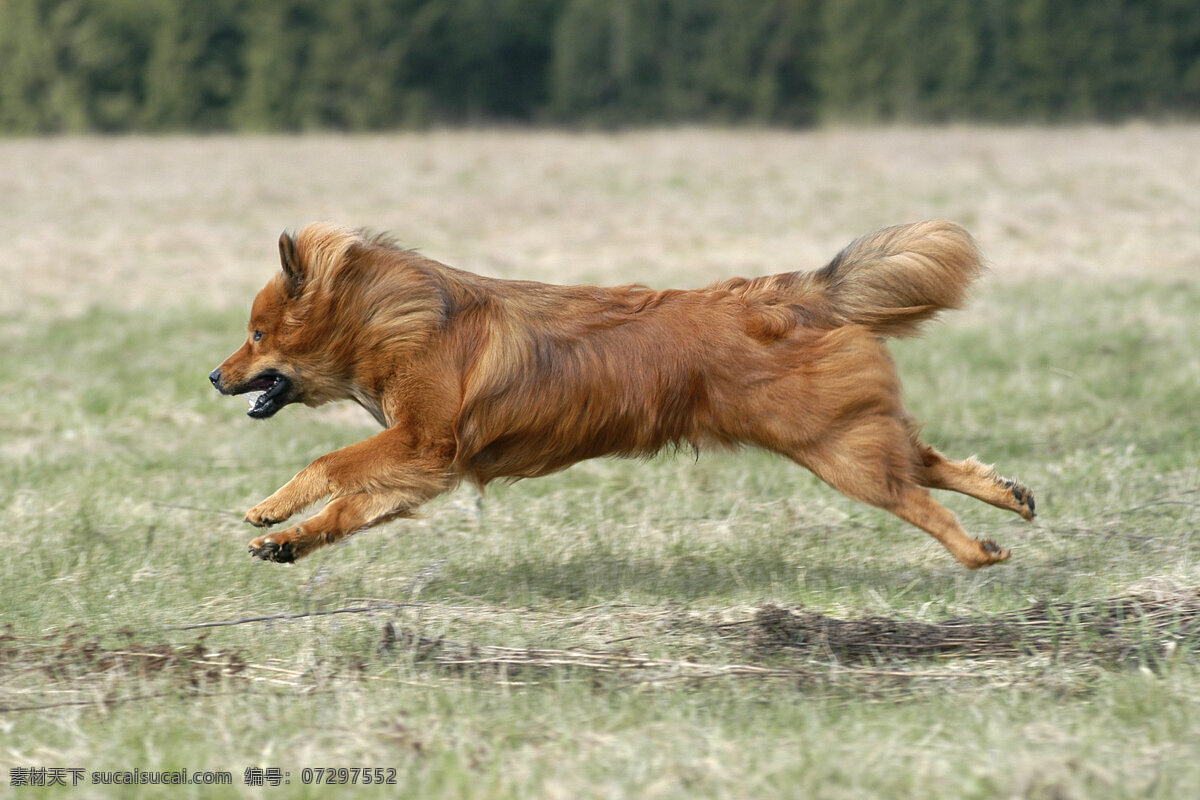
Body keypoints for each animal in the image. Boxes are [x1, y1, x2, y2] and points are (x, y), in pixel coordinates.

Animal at [206, 221, 1032, 566]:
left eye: (255, 334)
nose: (213, 376)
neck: (396, 319)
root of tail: (797, 294)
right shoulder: (419, 469)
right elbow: (349, 508)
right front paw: (287, 541)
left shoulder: (421, 444)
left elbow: (331, 466)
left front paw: (273, 508)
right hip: (845, 436)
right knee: (929, 463)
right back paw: (1009, 498)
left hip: (836, 450)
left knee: (917, 495)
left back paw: (977, 552)